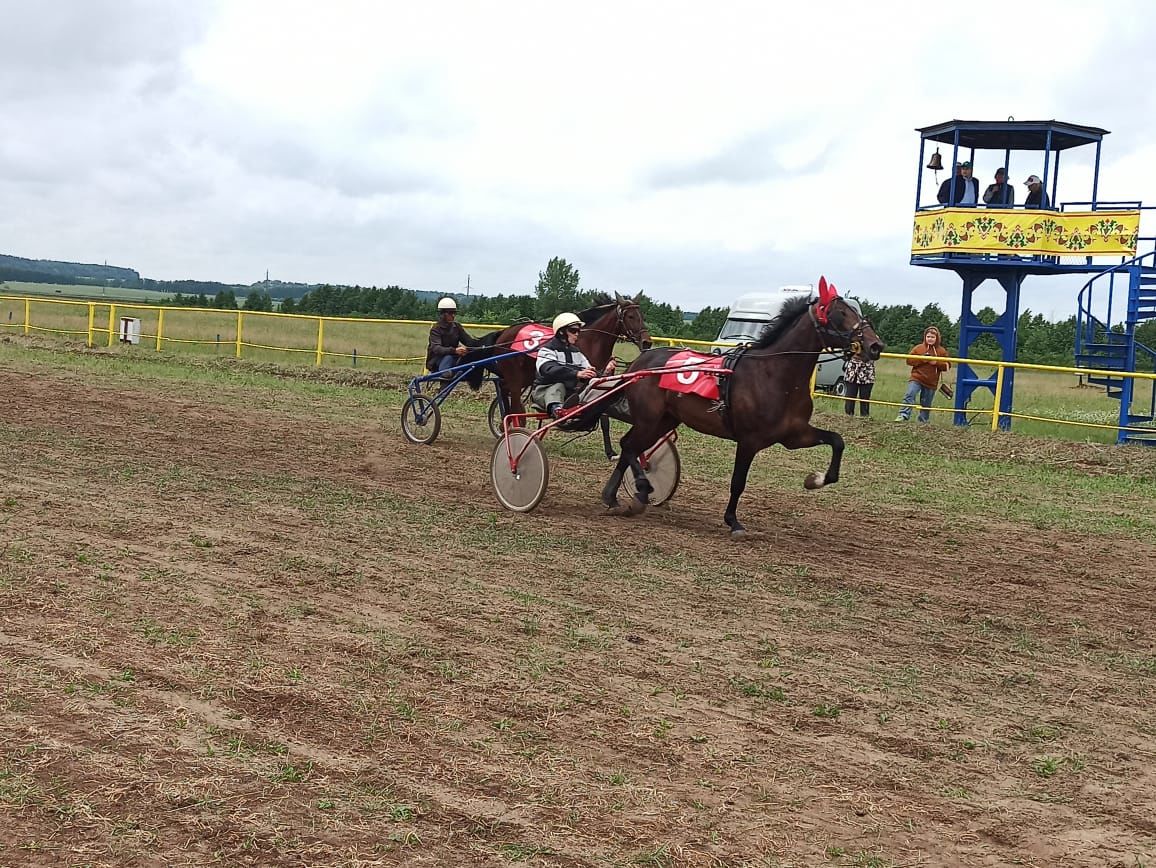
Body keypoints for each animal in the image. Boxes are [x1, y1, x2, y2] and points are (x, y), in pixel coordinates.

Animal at [601, 279, 878, 536]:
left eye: (855, 312)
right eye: (839, 313)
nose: (875, 345)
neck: (774, 375)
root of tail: (640, 362)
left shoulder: (794, 434)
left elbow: (837, 441)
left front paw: (815, 480)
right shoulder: (749, 440)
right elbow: (738, 482)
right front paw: (733, 522)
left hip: (665, 419)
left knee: (631, 448)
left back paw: (613, 497)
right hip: (649, 418)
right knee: (629, 446)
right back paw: (641, 488)